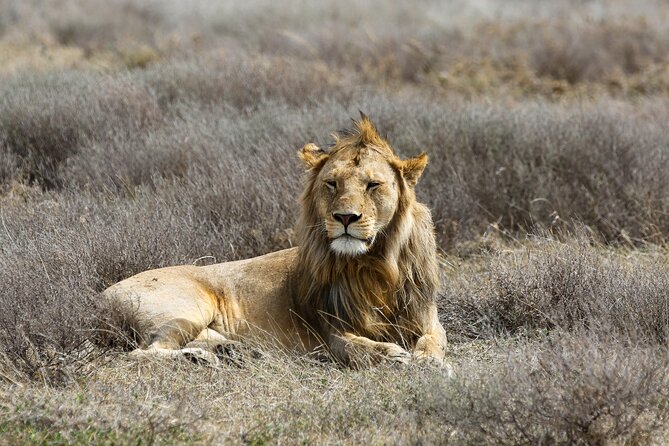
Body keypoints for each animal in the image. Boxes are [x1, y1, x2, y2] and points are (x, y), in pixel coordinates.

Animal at [103, 114, 449, 368]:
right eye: (332, 183)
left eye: (373, 185)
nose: (345, 218)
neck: (374, 265)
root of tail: (103, 294)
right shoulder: (332, 332)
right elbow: (359, 348)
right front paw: (395, 356)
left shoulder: (427, 317)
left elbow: (434, 340)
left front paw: (429, 361)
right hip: (189, 308)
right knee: (141, 353)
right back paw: (200, 359)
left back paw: (237, 353)